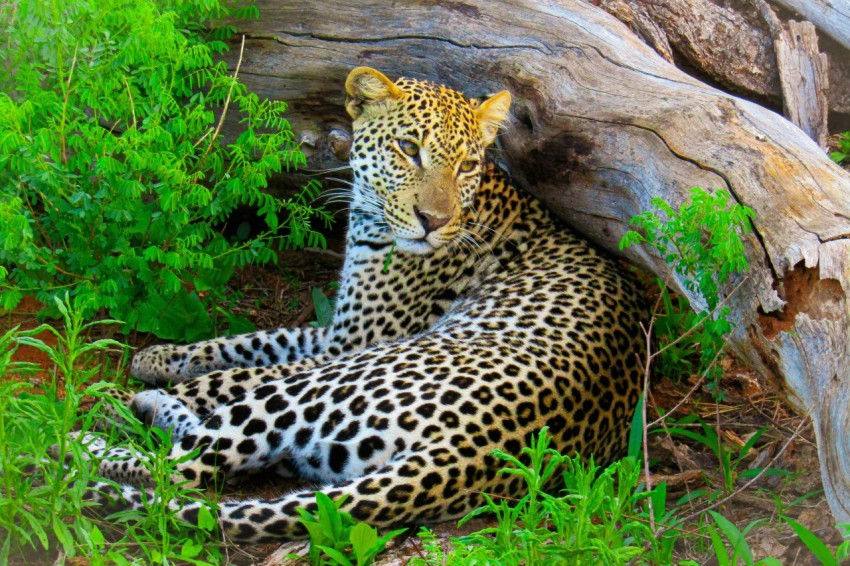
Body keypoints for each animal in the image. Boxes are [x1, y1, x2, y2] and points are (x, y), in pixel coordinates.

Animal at [79, 67, 644, 544]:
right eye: (408, 148)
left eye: (466, 165)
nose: (433, 221)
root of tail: (477, 452)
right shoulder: (338, 331)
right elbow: (251, 341)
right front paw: (157, 357)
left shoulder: (352, 345)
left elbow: (231, 374)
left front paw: (127, 386)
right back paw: (151, 405)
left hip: (325, 383)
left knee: (181, 467)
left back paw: (92, 434)